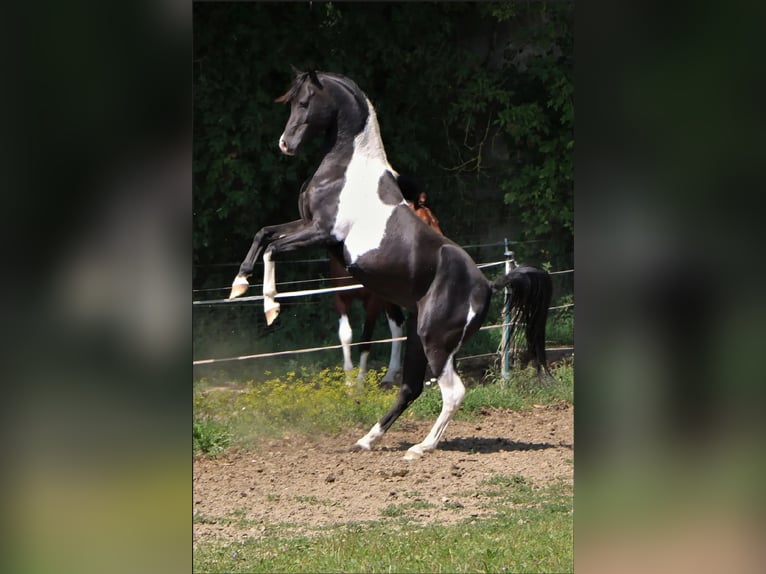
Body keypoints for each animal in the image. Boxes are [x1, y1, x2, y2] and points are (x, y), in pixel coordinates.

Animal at [330, 174, 444, 385]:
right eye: (426, 221)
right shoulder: (340, 298)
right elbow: (346, 336)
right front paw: (349, 383)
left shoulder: (372, 301)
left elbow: (365, 340)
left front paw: (359, 385)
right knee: (399, 325)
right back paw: (391, 374)